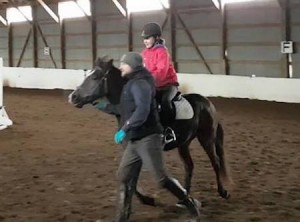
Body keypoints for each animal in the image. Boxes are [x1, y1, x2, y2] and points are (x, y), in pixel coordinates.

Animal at [68, 56, 232, 206]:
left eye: (95, 77)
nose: (73, 97)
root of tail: (207, 102)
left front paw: (148, 199)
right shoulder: (131, 149)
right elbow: (128, 178)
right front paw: (147, 199)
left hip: (206, 138)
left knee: (216, 162)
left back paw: (223, 192)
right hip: (183, 143)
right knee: (189, 166)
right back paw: (184, 196)